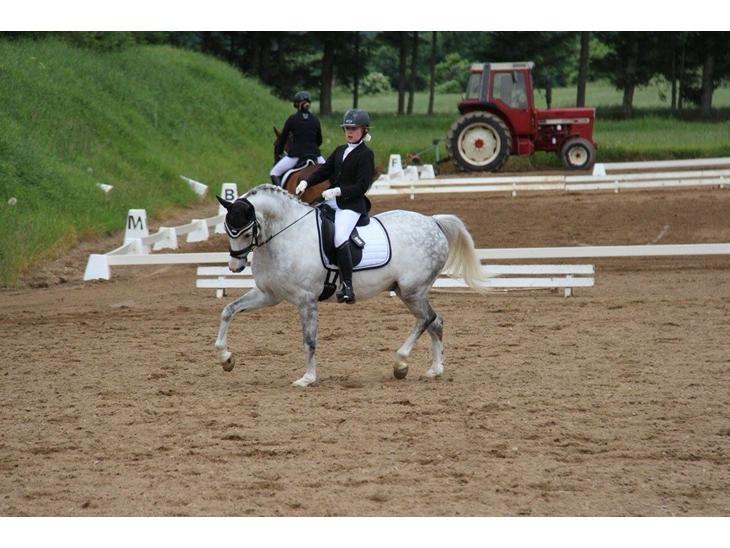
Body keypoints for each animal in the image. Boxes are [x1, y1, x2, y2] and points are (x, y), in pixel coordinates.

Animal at [212, 184, 484, 386]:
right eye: (227, 229)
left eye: (247, 232)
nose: (234, 267)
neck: (285, 236)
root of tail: (433, 222)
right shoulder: (268, 295)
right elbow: (228, 311)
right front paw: (226, 358)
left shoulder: (306, 300)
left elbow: (309, 340)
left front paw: (307, 378)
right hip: (407, 291)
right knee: (435, 322)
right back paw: (435, 370)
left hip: (412, 291)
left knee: (426, 319)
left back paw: (400, 363)